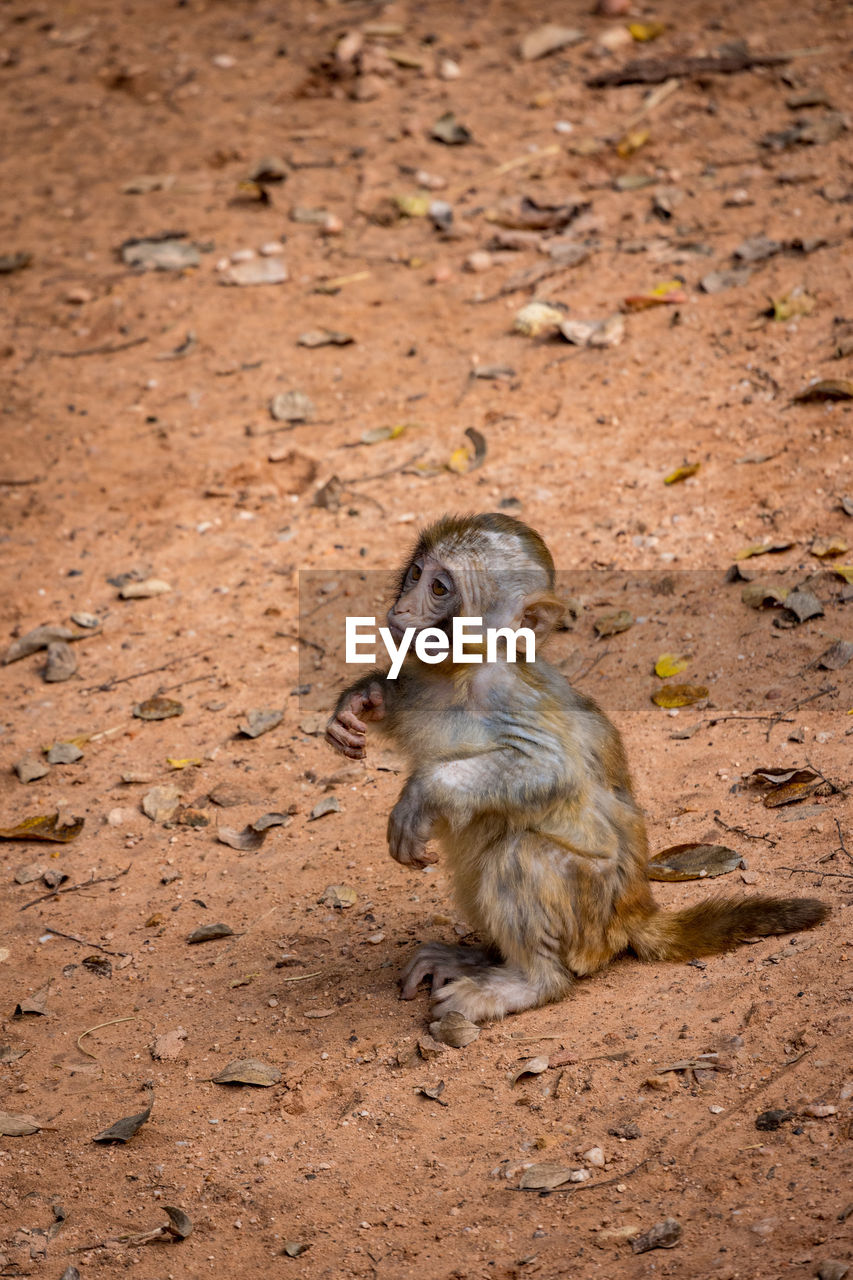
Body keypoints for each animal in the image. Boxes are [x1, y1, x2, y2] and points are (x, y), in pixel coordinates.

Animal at [324, 514, 824, 1024]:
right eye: (415, 573)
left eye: (440, 587)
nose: (403, 608)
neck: (462, 673)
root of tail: (635, 911)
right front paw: (363, 700)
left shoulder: (507, 694)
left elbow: (552, 768)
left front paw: (421, 793)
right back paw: (482, 958)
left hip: (591, 913)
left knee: (520, 854)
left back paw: (529, 982)